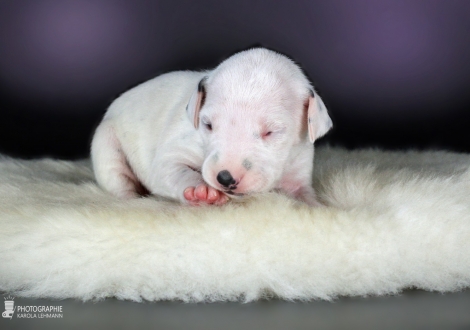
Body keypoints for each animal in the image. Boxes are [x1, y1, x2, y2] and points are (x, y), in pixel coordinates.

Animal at [92, 47, 332, 205]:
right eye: (207, 124)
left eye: (271, 132)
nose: (225, 178)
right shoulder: (174, 151)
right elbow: (173, 168)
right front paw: (202, 190)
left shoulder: (299, 168)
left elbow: (305, 196)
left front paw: (317, 207)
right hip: (106, 144)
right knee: (118, 181)